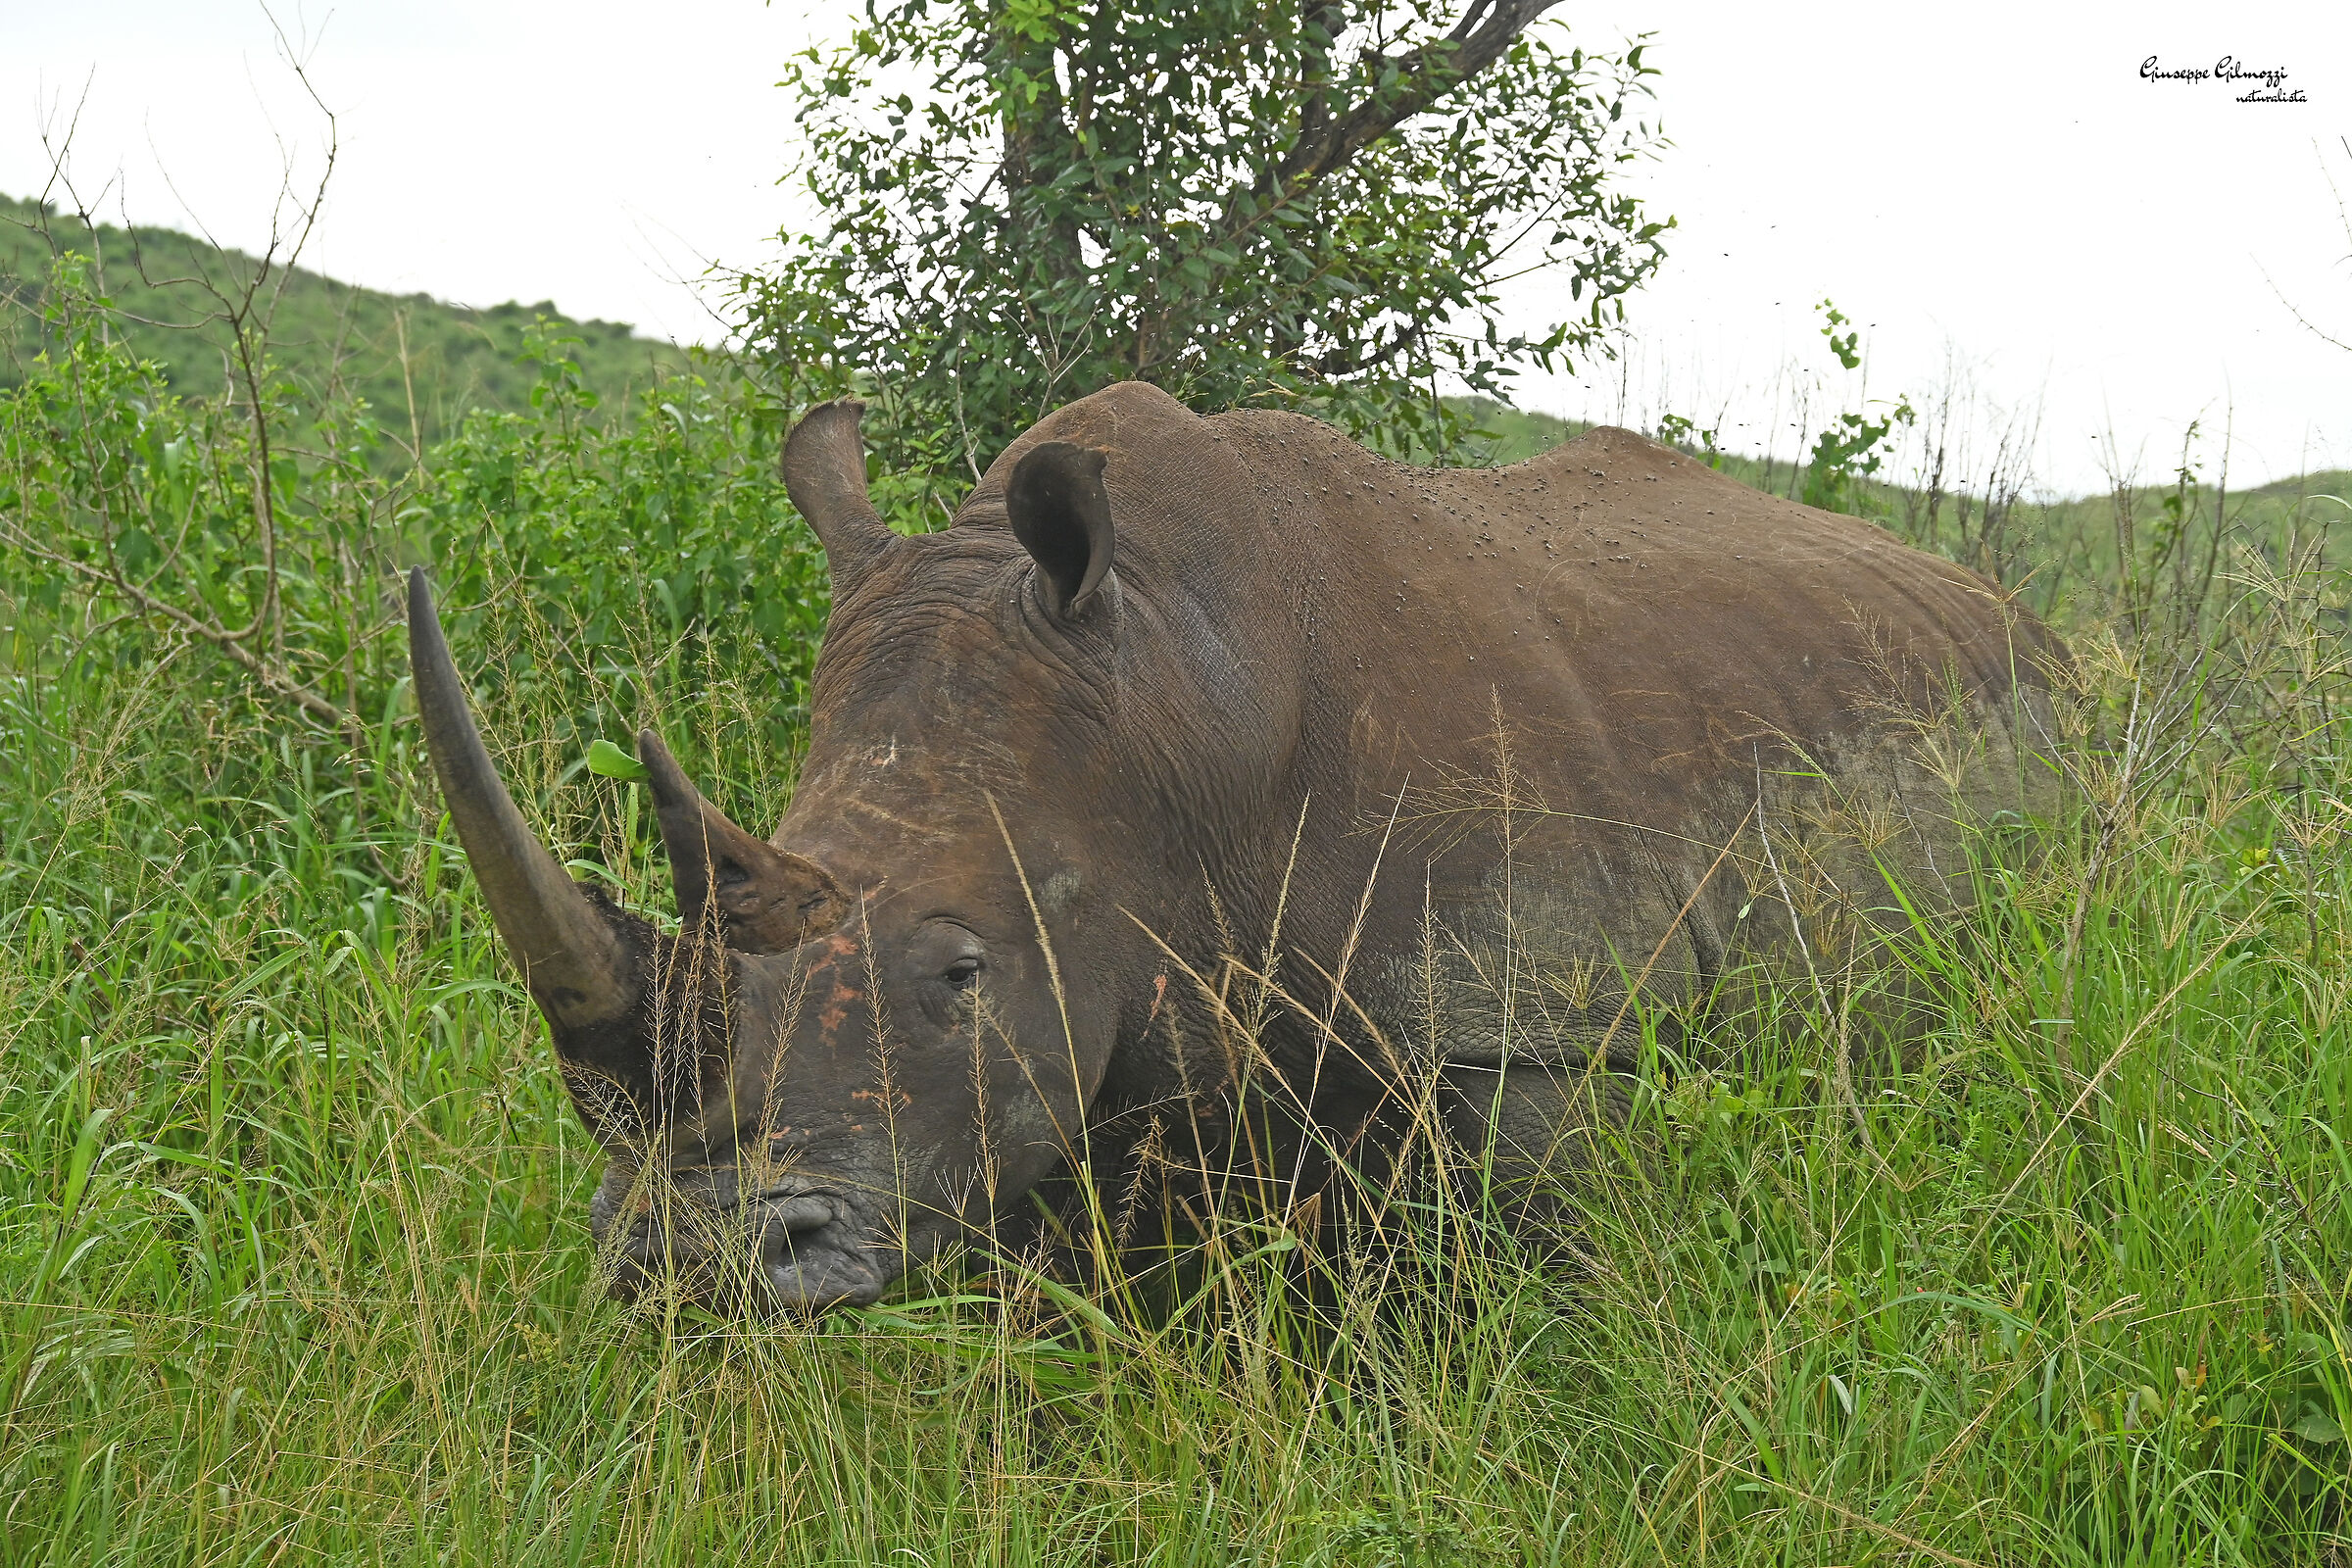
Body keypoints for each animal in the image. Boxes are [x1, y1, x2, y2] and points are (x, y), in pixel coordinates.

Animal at [406, 381, 2060, 1314]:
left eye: (959, 974)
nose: (687, 1262)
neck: (1165, 721)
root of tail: (2022, 619)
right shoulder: (1112, 1061)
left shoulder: (1533, 1032)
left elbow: (1551, 1318)